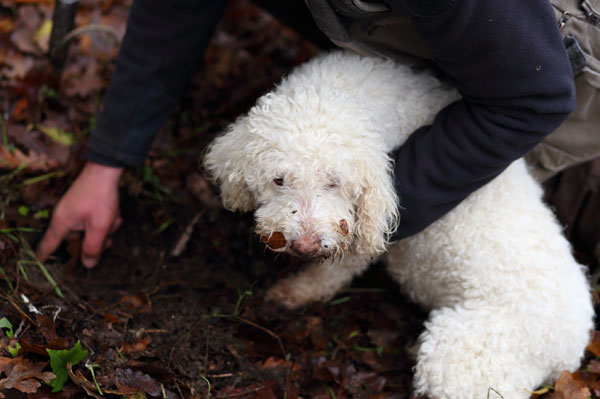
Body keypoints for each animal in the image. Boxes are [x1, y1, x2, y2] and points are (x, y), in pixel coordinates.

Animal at [203, 51, 596, 398]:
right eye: (278, 180)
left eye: (334, 182)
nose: (306, 245)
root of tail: (570, 353)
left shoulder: (363, 228)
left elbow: (333, 272)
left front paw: (295, 292)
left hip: (462, 356)